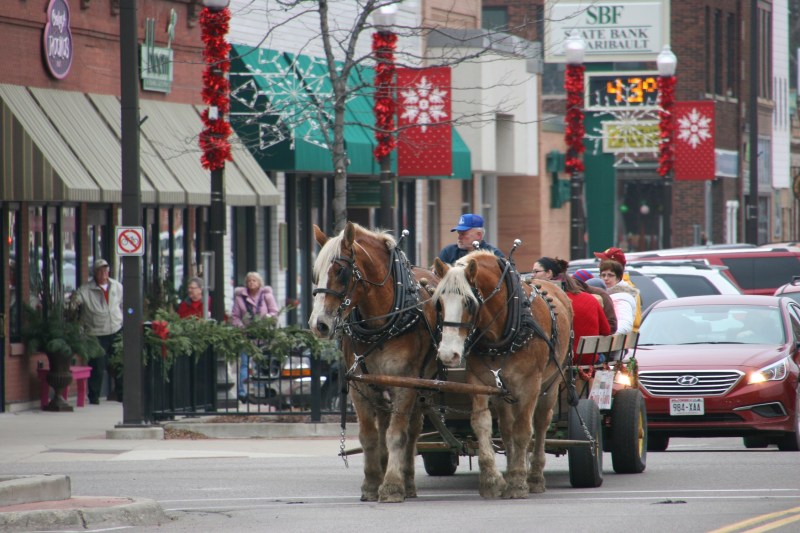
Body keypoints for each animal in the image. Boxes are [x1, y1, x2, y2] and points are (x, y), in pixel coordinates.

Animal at [309, 222, 440, 503]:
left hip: (422, 385)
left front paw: (391, 485)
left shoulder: (405, 384)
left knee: (412, 431)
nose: (318, 324)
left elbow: (397, 435)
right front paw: (371, 483)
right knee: (383, 427)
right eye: (316, 273)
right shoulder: (360, 386)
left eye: (341, 270)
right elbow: (369, 436)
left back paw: (406, 480)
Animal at [432, 251, 572, 499]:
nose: (448, 354)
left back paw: (534, 476)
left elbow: (524, 430)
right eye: (439, 302)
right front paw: (493, 479)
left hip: (552, 382)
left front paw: (518, 481)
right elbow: (483, 425)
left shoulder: (530, 385)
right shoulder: (480, 382)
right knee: (507, 428)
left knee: (540, 423)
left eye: (469, 302)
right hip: (503, 392)